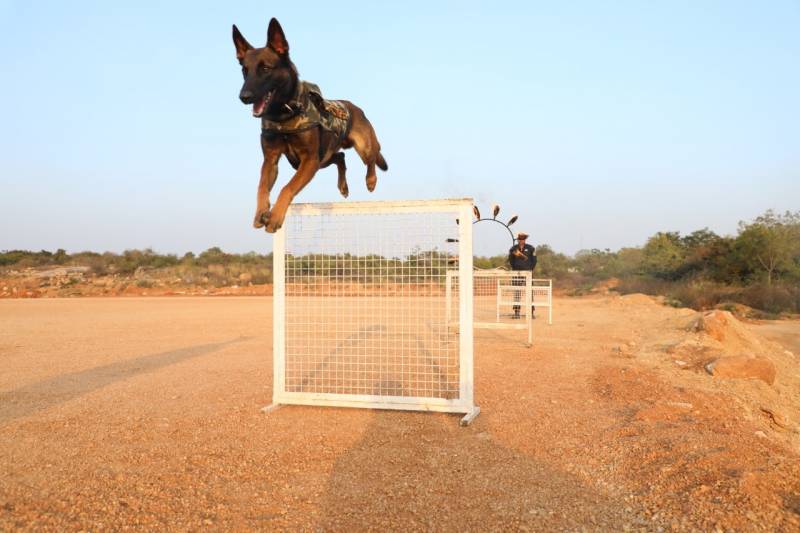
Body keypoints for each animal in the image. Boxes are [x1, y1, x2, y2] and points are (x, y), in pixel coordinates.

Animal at [231, 19, 388, 231]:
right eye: (244, 71)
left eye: (265, 69)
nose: (244, 97)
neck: (284, 114)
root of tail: (355, 107)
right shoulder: (272, 159)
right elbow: (262, 187)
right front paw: (260, 212)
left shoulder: (309, 160)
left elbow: (287, 187)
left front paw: (276, 216)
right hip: (317, 160)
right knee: (340, 156)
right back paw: (343, 186)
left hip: (361, 147)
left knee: (370, 160)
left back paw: (371, 181)